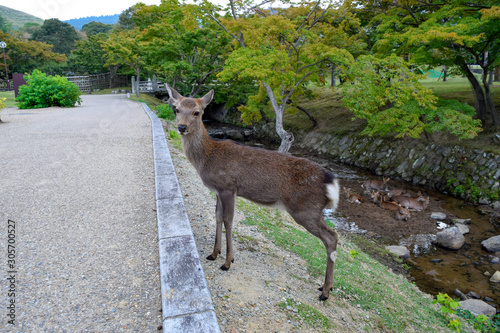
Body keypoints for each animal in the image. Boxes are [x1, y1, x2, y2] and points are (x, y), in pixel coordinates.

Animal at [166, 85, 342, 300]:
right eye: (176, 109)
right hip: (311, 210)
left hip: (305, 209)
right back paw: (326, 287)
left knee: (332, 237)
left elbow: (229, 221)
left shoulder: (228, 187)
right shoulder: (217, 190)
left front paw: (227, 262)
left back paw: (325, 290)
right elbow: (217, 217)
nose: (181, 127)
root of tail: (331, 182)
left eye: (197, 112)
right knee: (332, 237)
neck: (207, 158)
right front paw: (213, 254)